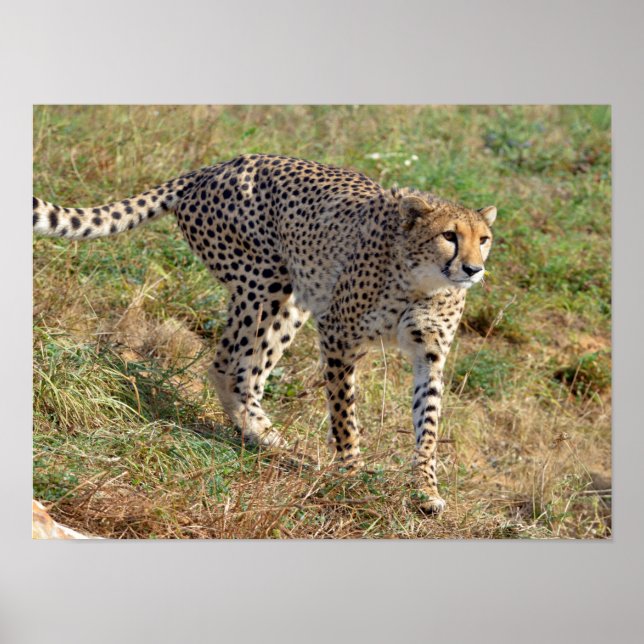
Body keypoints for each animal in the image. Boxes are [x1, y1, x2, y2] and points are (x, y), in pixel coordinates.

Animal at [33, 153, 497, 515]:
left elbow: (428, 425)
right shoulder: (339, 335)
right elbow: (345, 414)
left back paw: (267, 437)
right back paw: (263, 435)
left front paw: (425, 490)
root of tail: (218, 165)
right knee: (227, 364)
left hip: (291, 297)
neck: (424, 282)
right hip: (263, 280)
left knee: (246, 372)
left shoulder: (429, 355)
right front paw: (351, 474)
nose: (473, 269)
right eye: (449, 235)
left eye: (484, 239)